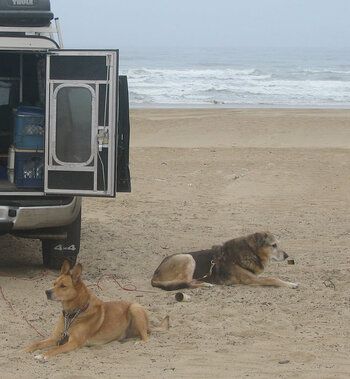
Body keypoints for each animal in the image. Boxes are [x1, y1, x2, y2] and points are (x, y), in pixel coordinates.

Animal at [23, 262, 169, 362]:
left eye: (63, 286)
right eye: (54, 283)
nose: (46, 292)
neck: (73, 314)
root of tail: (148, 324)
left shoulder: (74, 342)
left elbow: (55, 349)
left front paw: (43, 355)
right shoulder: (56, 337)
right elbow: (37, 344)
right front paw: (24, 350)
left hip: (135, 308)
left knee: (146, 336)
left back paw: (140, 342)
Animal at [151, 232, 298, 290]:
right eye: (274, 245)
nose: (287, 256)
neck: (250, 251)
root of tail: (155, 275)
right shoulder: (250, 279)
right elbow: (273, 279)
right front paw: (291, 284)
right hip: (188, 257)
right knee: (187, 282)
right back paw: (206, 284)